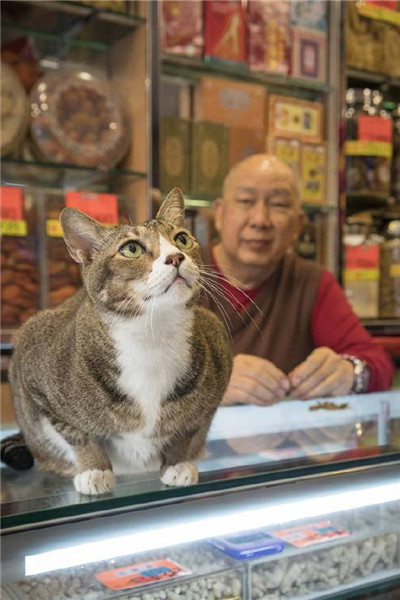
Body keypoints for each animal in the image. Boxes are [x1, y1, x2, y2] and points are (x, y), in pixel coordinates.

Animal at [1, 190, 231, 494]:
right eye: (131, 249)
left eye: (182, 238)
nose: (176, 257)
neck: (151, 334)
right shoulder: (33, 370)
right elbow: (77, 434)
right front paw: (94, 469)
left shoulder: (217, 358)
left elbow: (187, 428)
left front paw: (177, 462)